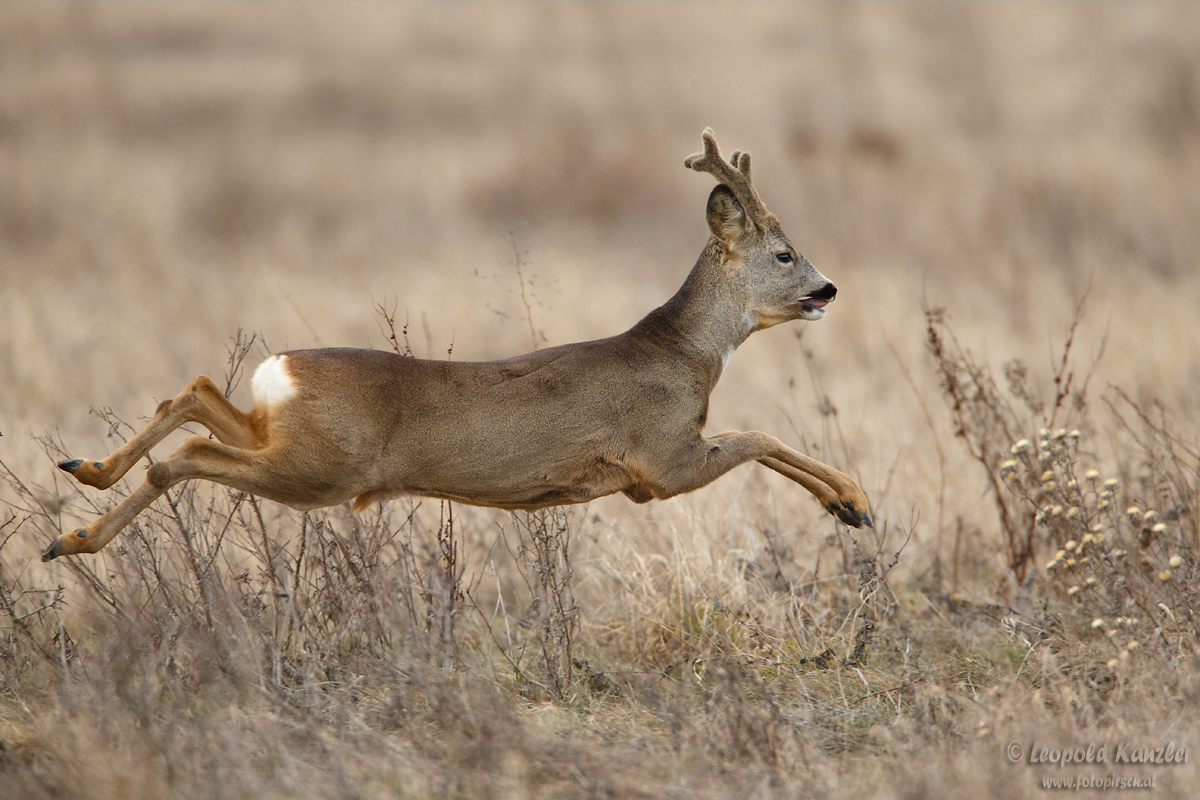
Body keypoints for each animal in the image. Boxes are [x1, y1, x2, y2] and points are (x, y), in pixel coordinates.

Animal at [42, 126, 873, 563]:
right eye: (785, 255)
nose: (830, 290)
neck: (685, 356)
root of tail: (281, 369)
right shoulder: (660, 460)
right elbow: (762, 436)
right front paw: (854, 502)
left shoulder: (657, 466)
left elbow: (763, 437)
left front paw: (848, 505)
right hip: (323, 468)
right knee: (184, 456)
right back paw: (76, 538)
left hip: (287, 438)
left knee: (193, 393)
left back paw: (84, 480)